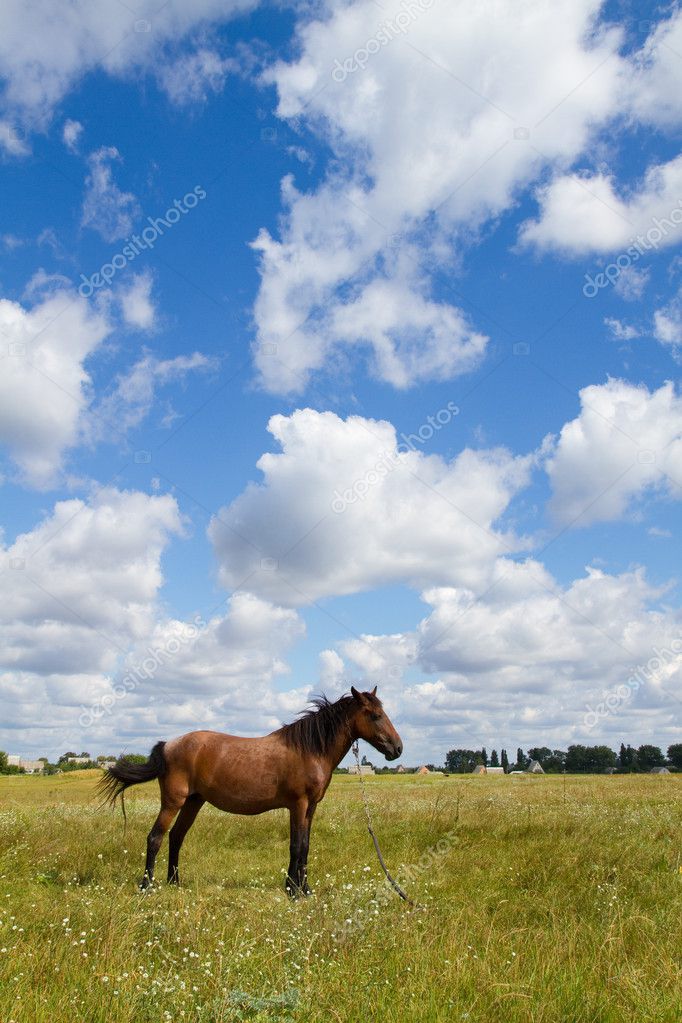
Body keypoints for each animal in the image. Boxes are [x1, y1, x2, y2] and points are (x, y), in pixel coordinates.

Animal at [98, 687, 402, 896]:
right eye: (376, 715)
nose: (398, 748)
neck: (309, 749)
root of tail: (168, 744)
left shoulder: (311, 808)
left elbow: (305, 846)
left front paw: (305, 889)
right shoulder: (298, 805)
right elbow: (296, 845)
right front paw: (293, 891)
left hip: (194, 802)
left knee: (176, 837)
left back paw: (175, 883)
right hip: (173, 801)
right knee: (155, 837)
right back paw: (146, 886)